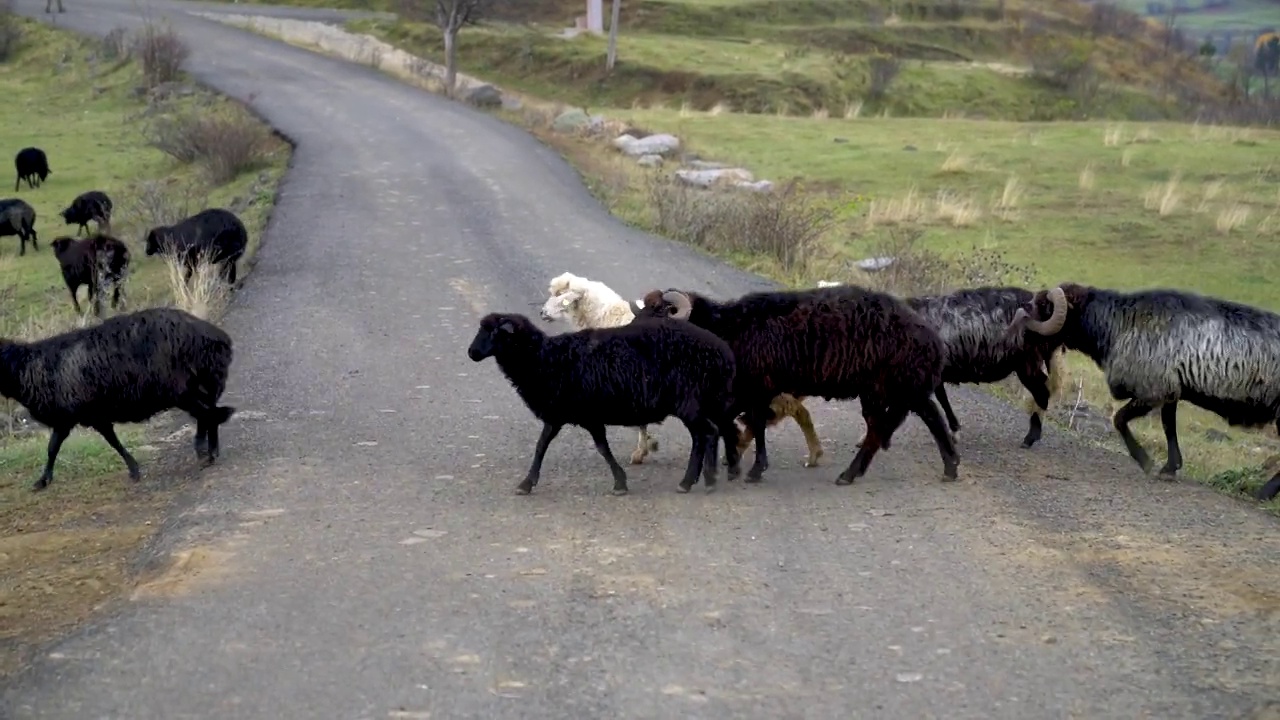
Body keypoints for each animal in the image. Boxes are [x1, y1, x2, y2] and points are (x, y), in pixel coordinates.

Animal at [0, 304, 238, 489]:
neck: (25, 368)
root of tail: (216, 337)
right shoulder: (76, 416)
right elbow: (56, 447)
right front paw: (43, 480)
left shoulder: (79, 415)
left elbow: (101, 443)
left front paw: (134, 470)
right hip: (201, 385)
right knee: (208, 415)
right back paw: (209, 450)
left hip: (182, 390)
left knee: (209, 415)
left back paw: (205, 452)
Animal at [468, 311, 742, 497]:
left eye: (494, 332)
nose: (471, 353)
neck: (545, 359)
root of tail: (723, 352)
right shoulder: (558, 414)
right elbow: (541, 445)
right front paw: (526, 483)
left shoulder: (587, 415)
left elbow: (602, 448)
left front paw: (620, 483)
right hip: (703, 401)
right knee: (709, 434)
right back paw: (705, 478)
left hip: (689, 401)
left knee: (707, 433)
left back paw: (697, 481)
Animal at [640, 284, 962, 481]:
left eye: (660, 311)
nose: (633, 334)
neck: (725, 328)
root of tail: (931, 337)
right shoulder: (744, 393)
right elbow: (737, 424)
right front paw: (734, 463)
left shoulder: (757, 388)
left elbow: (755, 424)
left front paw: (754, 469)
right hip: (901, 388)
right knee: (926, 417)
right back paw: (950, 466)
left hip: (889, 387)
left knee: (888, 427)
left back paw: (850, 475)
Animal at [1008, 280, 1280, 476]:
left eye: (1045, 307)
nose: (1020, 329)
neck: (1117, 324)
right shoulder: (1170, 389)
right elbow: (1169, 427)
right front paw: (1170, 467)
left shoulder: (1152, 390)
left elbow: (1119, 419)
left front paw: (1145, 461)